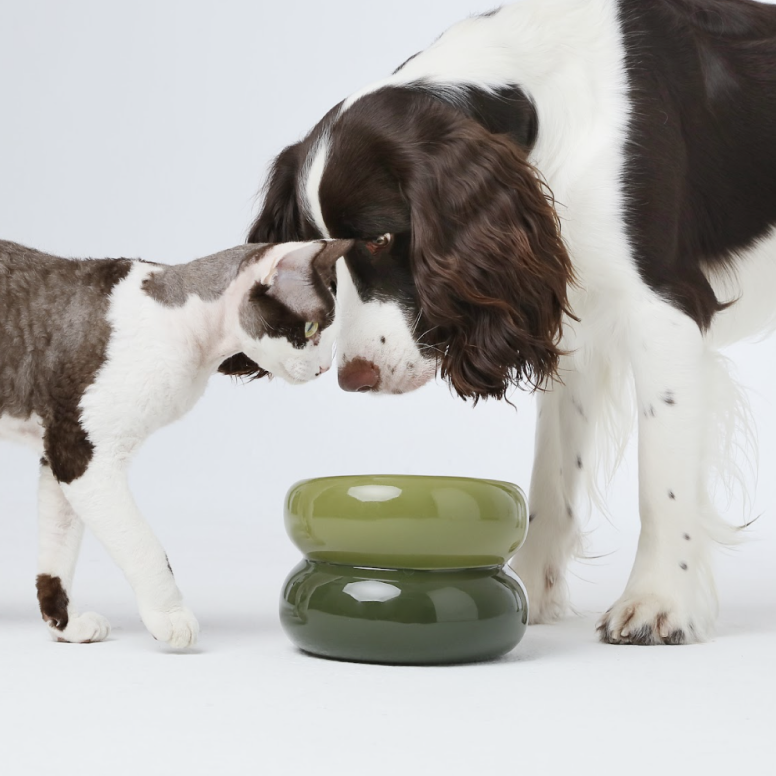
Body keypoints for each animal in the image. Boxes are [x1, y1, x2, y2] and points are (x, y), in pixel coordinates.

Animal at [0, 238, 352, 648]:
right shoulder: (81, 453)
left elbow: (57, 550)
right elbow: (144, 545)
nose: (324, 369)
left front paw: (65, 626)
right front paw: (170, 617)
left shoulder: (56, 452)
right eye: (311, 328)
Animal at [242, 0, 776, 644]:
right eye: (321, 257)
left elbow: (663, 484)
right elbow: (552, 474)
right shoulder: (568, 309)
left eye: (379, 239)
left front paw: (658, 603)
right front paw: (530, 591)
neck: (538, 102)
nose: (354, 379)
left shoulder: (664, 310)